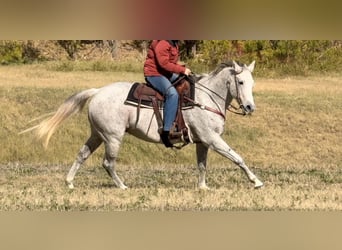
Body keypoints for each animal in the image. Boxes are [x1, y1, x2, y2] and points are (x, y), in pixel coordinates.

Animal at [25, 60, 264, 189]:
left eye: (252, 82)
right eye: (240, 81)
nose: (250, 107)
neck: (206, 97)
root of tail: (98, 91)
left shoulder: (202, 142)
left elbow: (202, 165)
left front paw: (203, 187)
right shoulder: (212, 139)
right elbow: (237, 157)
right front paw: (256, 181)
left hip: (97, 135)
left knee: (82, 155)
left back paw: (69, 182)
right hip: (113, 138)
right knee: (108, 163)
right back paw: (122, 186)